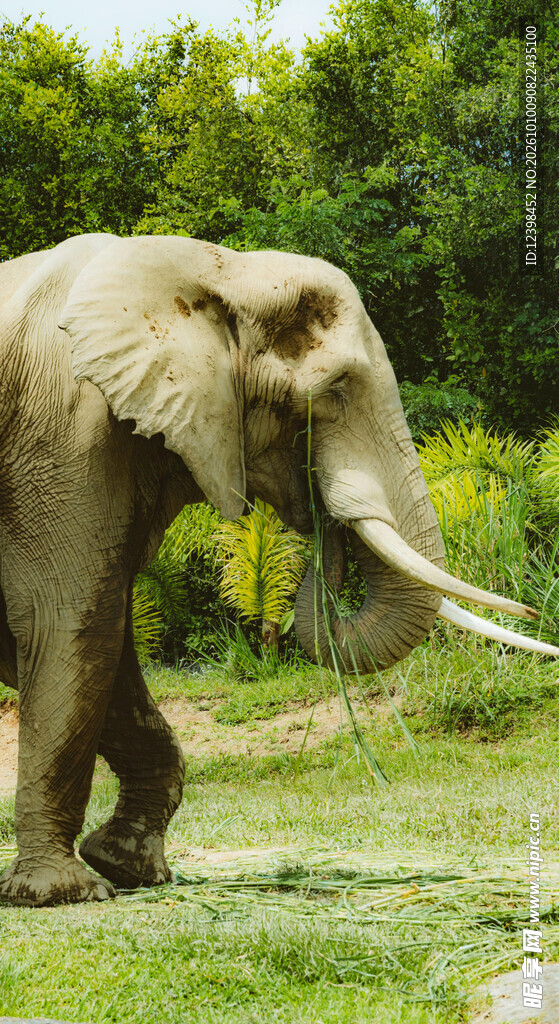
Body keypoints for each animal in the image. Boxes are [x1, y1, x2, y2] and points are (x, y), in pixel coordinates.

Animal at [0, 233, 557, 907]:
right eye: (335, 392)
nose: (320, 514)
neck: (221, 270)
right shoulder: (63, 432)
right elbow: (66, 620)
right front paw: (63, 893)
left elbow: (92, 640)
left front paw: (130, 868)